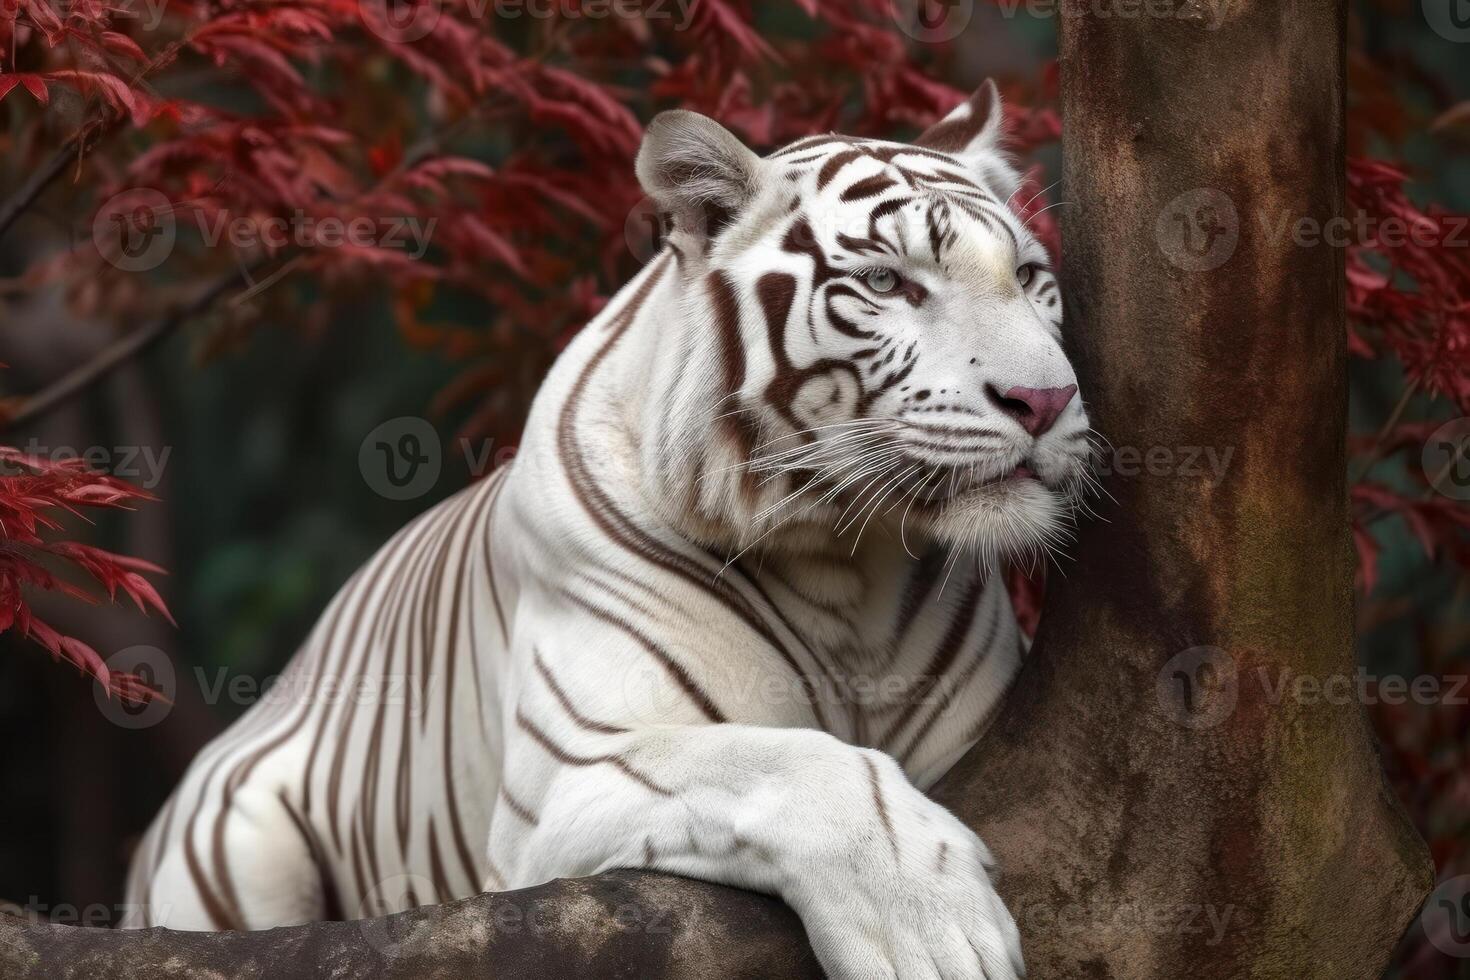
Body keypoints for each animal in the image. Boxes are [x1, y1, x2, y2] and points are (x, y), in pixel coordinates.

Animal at [126, 82, 1093, 980]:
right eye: (889, 282)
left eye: (1028, 279)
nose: (1045, 401)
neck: (842, 565)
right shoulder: (568, 773)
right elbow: (797, 765)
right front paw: (930, 929)